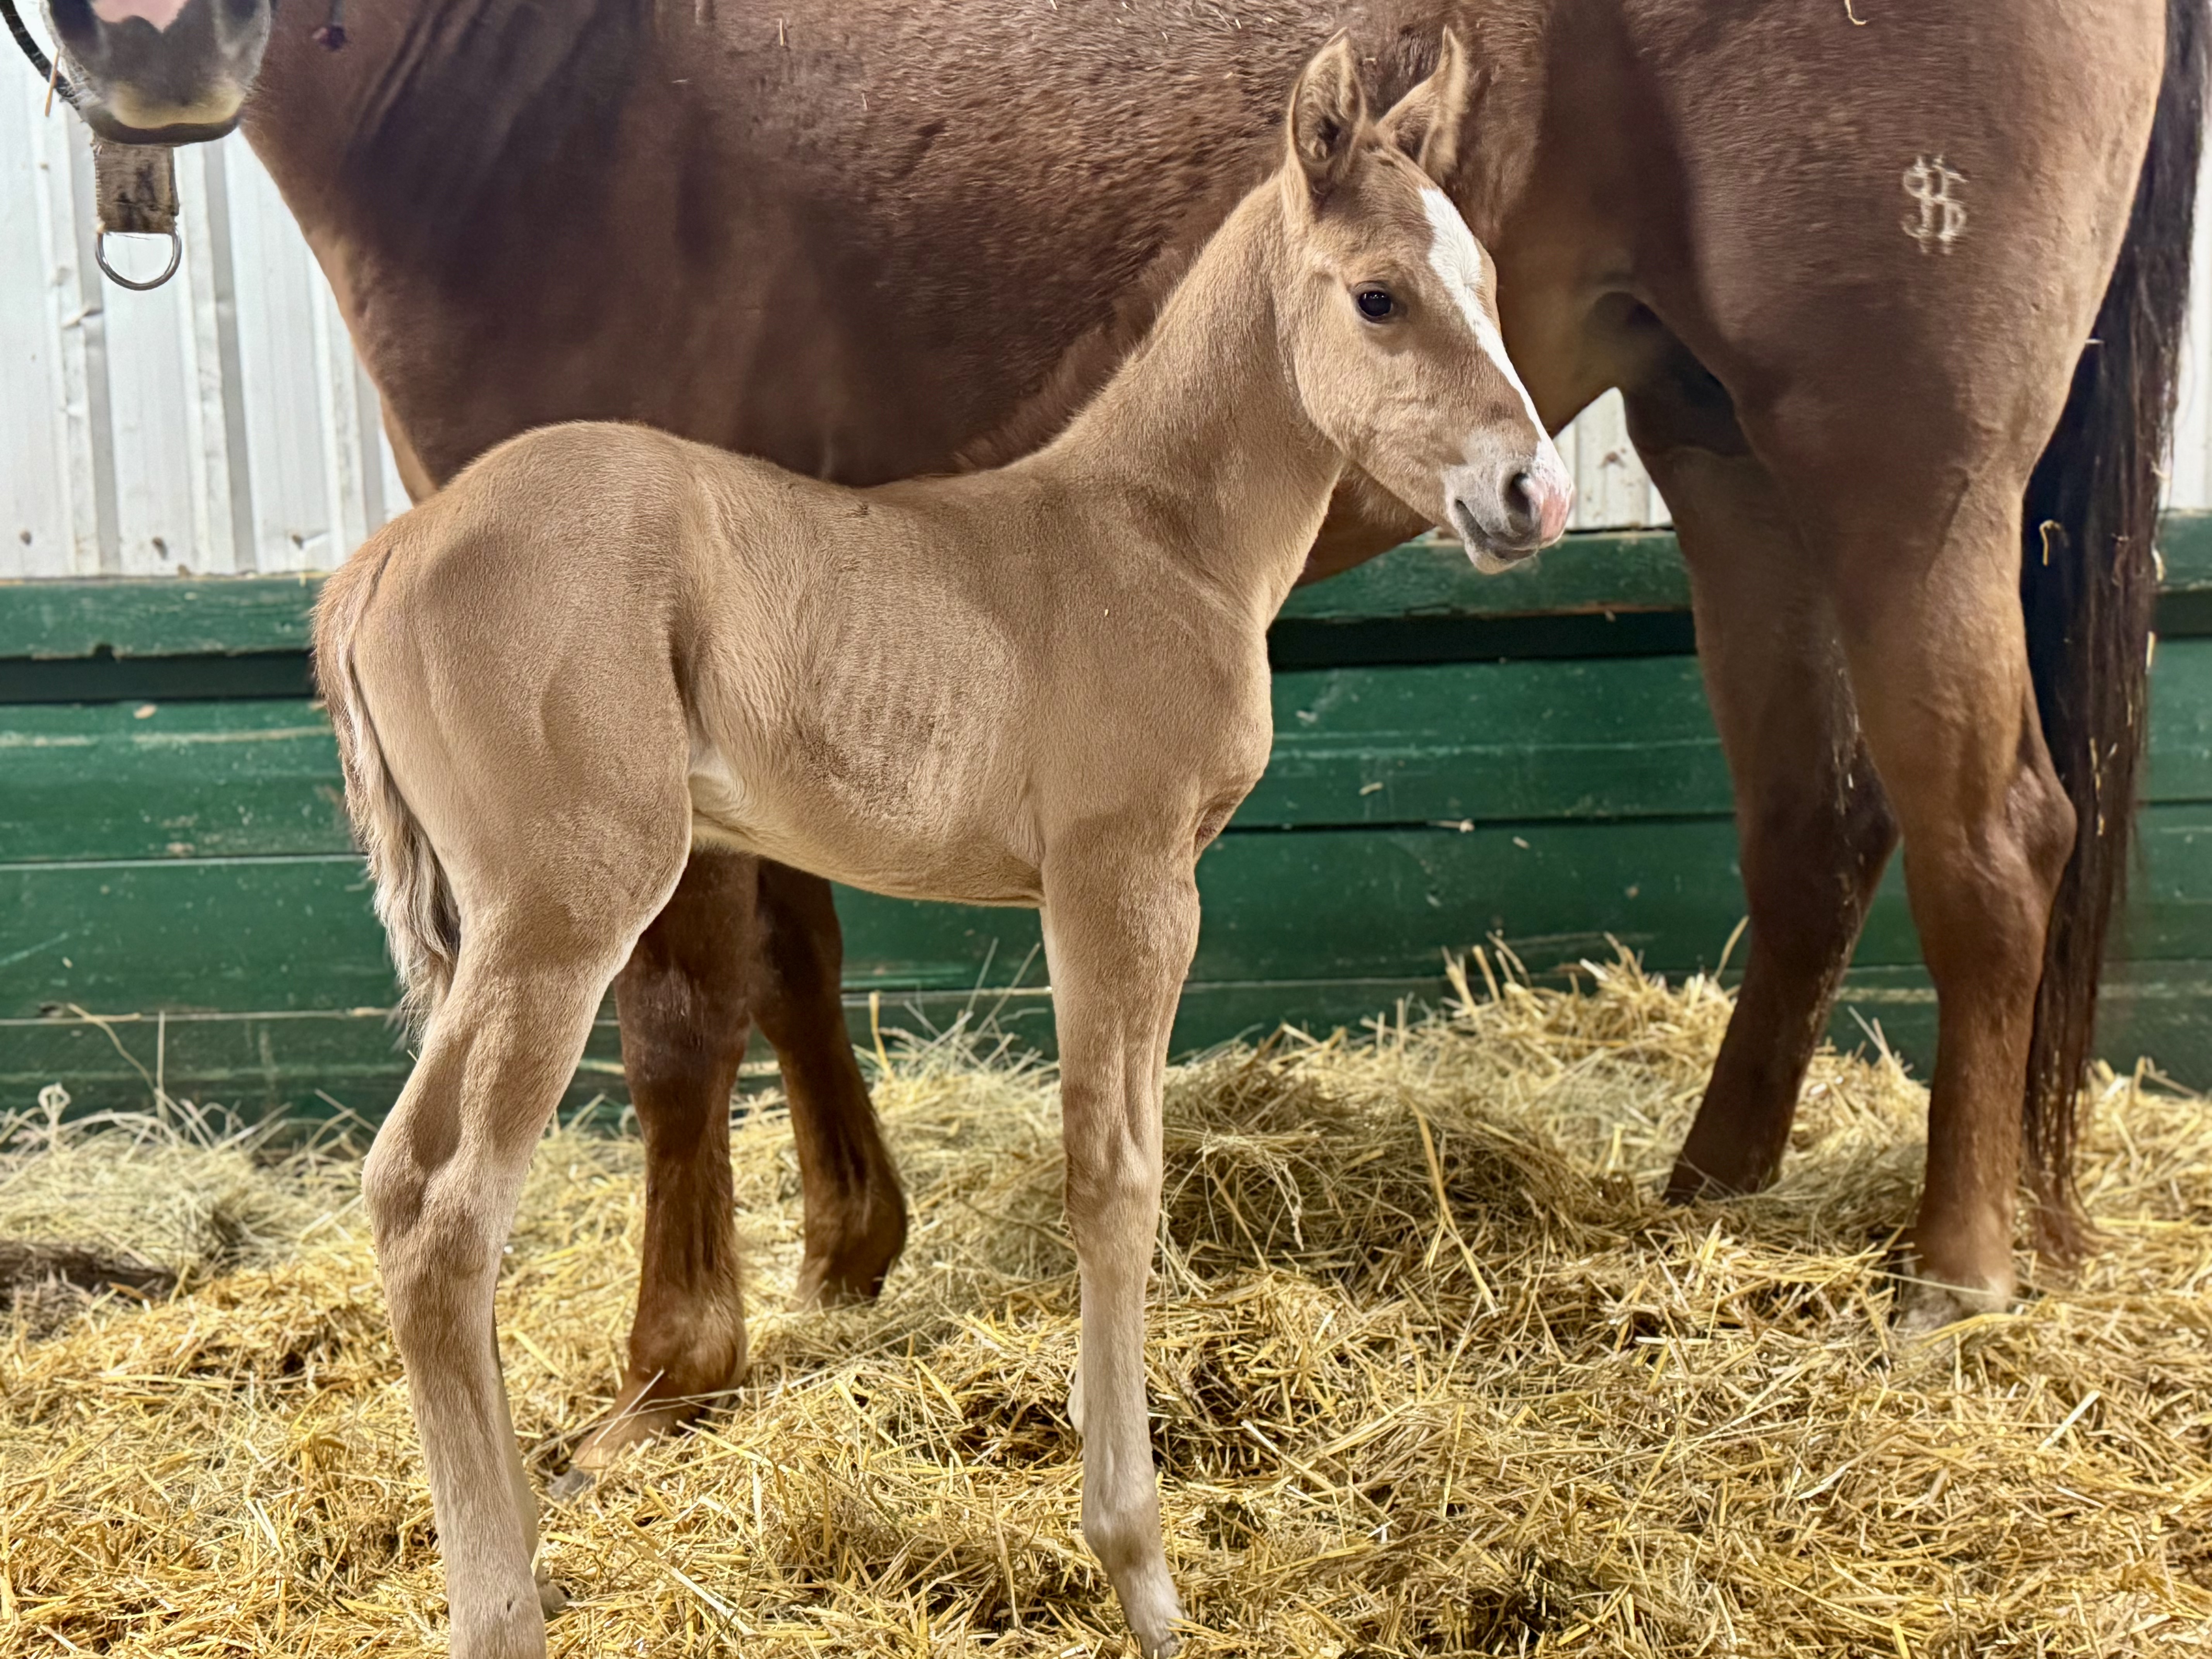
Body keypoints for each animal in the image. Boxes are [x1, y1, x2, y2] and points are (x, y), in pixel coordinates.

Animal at [39, 0, 2205, 1442]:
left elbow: (680, 996)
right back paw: (1724, 1188)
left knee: (1989, 833)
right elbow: (796, 945)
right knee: (1815, 822)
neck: (541, 81)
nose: (152, 40)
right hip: (1720, 442)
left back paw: (1953, 1259)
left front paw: (677, 1354)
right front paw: (847, 1245)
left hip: (1901, 461)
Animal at [313, 40, 1561, 1653]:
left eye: (1487, 276)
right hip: (562, 910)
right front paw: (1139, 1567)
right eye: (1379, 297)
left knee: (411, 1191)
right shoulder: (1122, 883)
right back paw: (503, 1601)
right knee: (441, 1203)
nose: (1534, 492)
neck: (1154, 537)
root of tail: (387, 552)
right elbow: (1112, 1179)